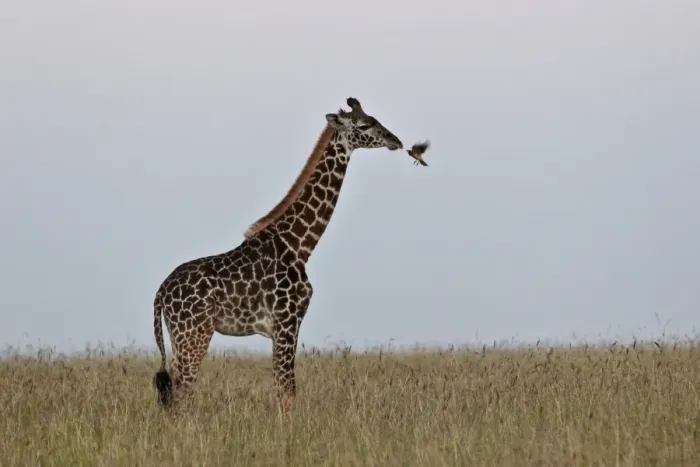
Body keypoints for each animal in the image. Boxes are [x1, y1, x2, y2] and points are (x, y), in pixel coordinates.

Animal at [152, 97, 404, 414]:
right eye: (364, 125)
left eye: (374, 118)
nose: (396, 141)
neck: (299, 245)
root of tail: (161, 293)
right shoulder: (287, 321)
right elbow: (287, 390)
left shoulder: (282, 327)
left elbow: (283, 388)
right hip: (194, 333)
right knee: (181, 393)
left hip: (179, 335)